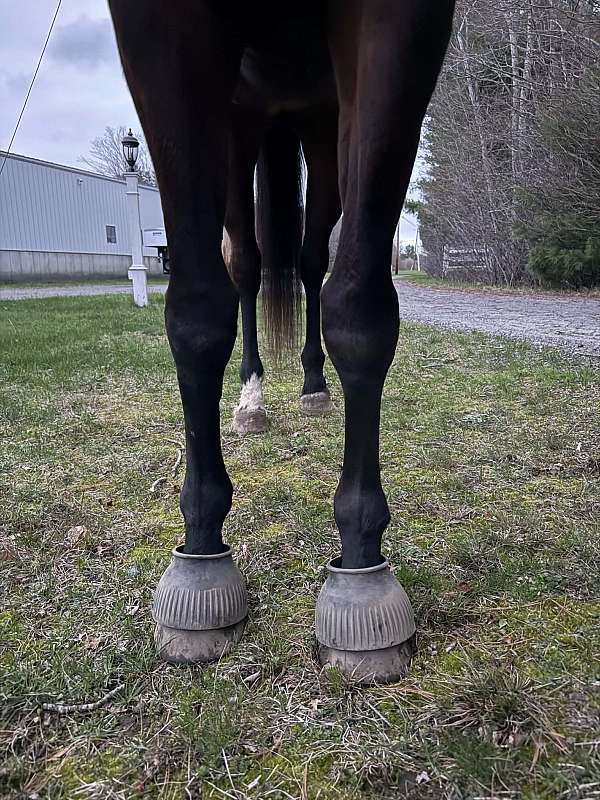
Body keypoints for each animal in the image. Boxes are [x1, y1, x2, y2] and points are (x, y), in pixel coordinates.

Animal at [108, 0, 455, 683]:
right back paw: (251, 397)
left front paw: (361, 565)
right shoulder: (157, 32)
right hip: (242, 125)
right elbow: (196, 311)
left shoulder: (397, 31)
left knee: (311, 258)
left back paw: (314, 386)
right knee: (246, 262)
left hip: (318, 129)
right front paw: (201, 552)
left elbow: (358, 309)